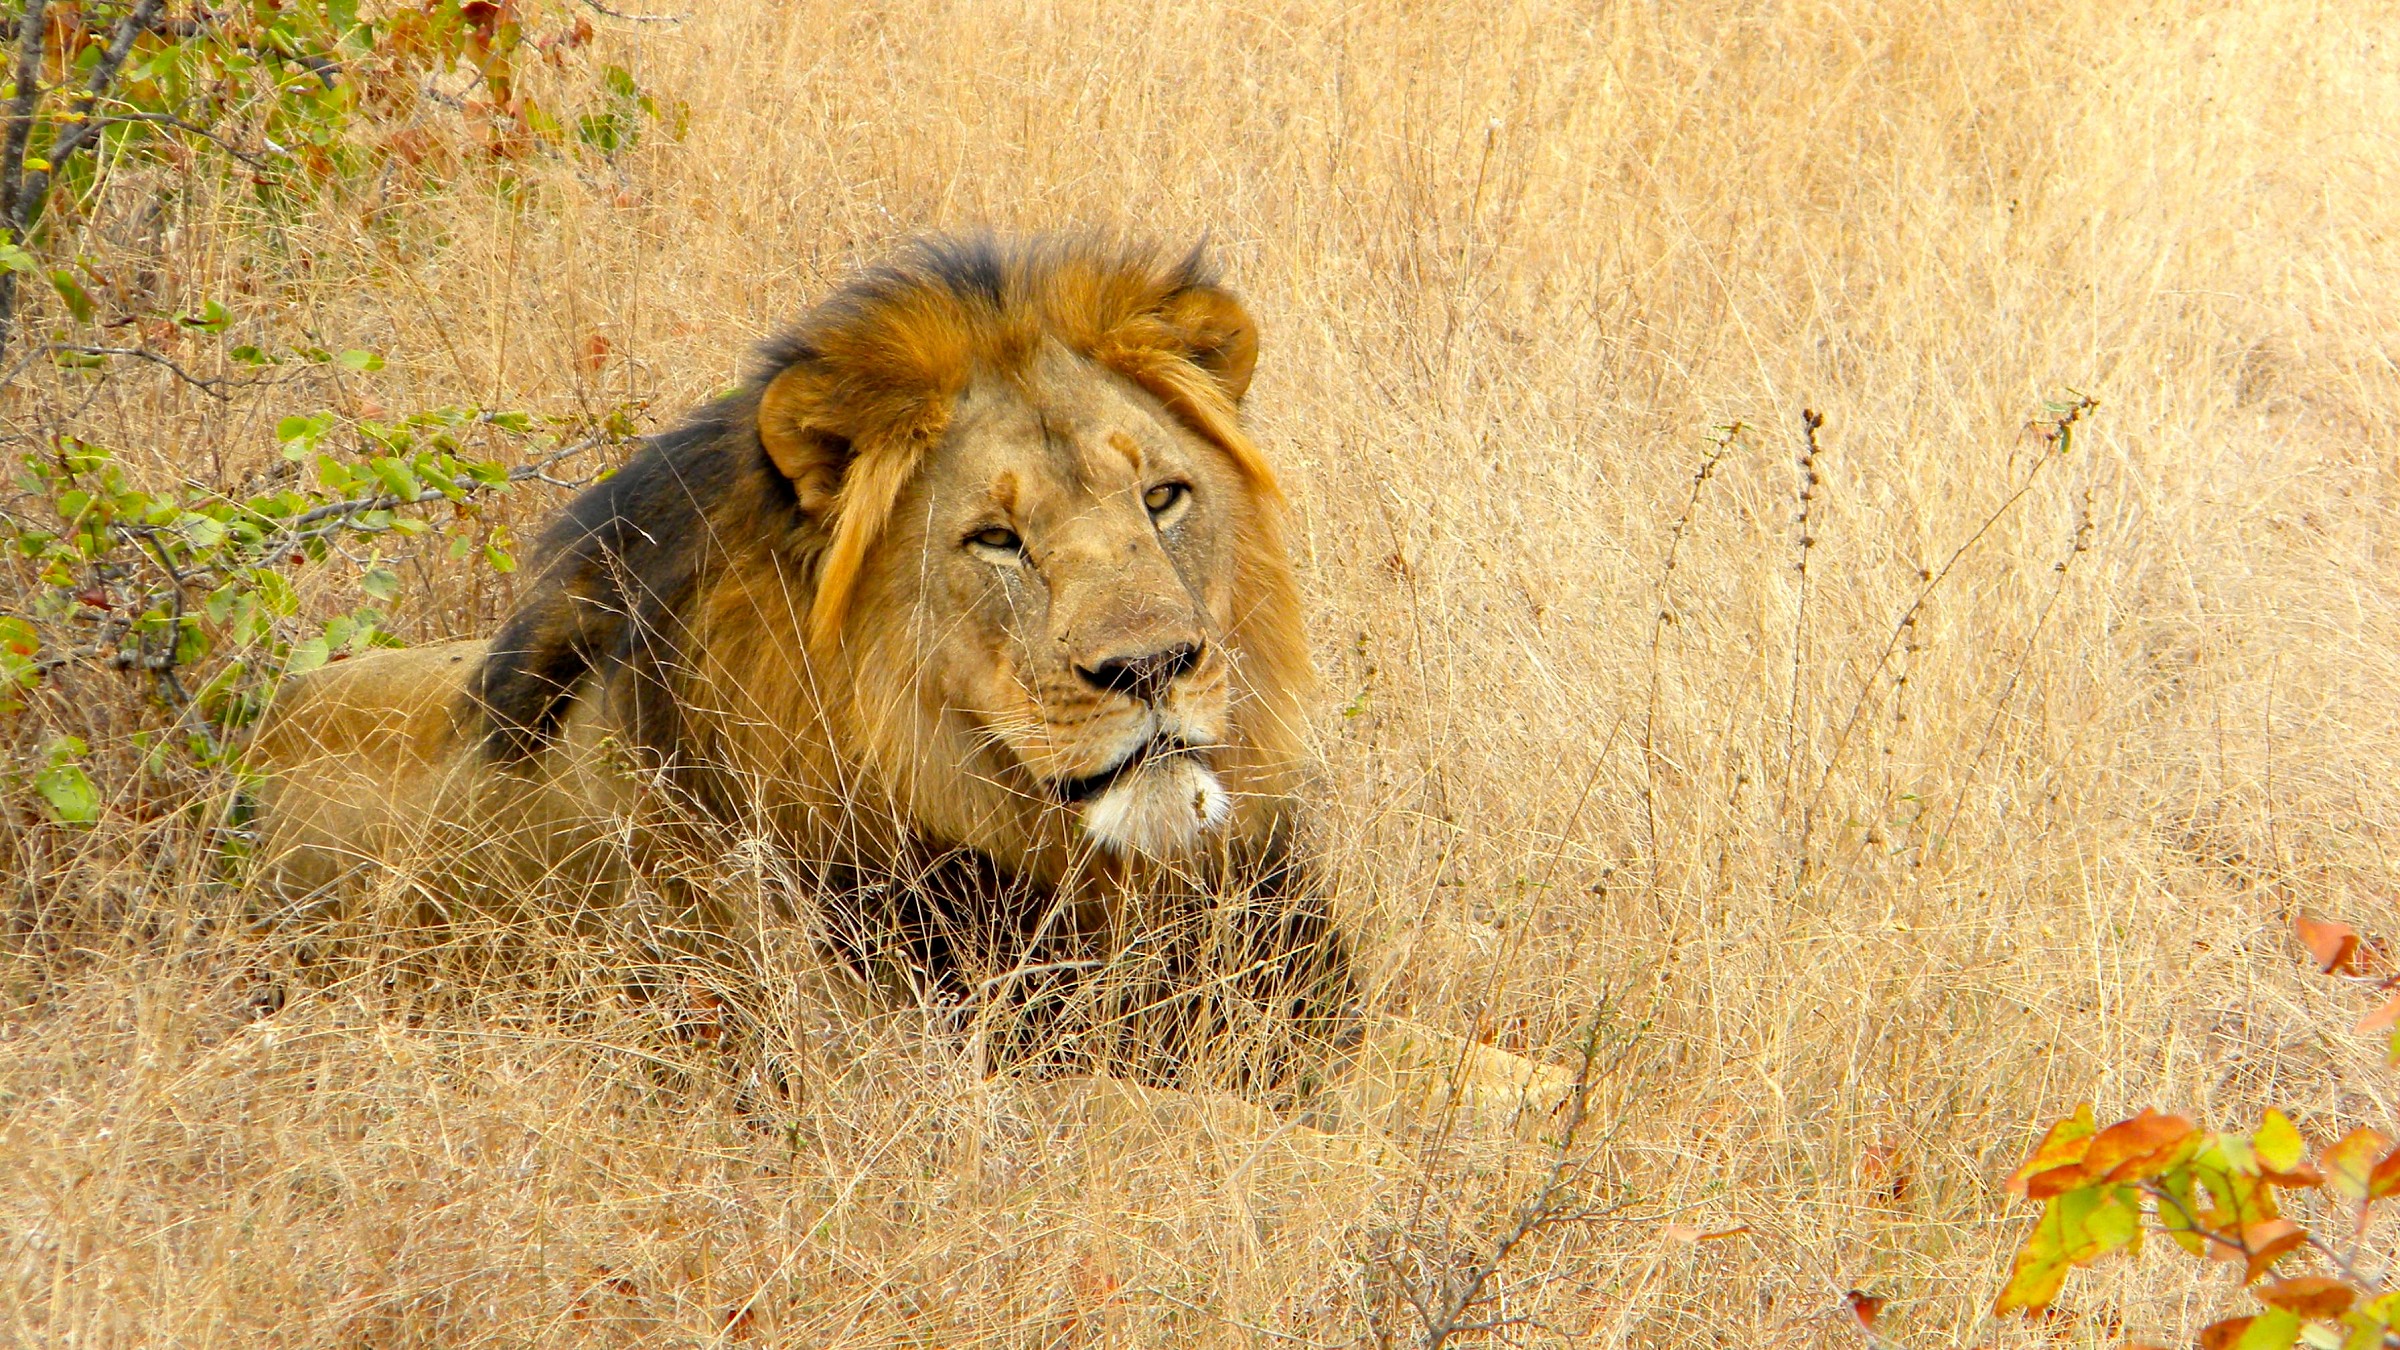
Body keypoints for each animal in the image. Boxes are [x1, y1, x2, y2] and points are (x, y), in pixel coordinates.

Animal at [249, 234, 1567, 1115]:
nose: (1153, 664)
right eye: (995, 539)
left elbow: (1540, 1086)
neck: (1099, 876)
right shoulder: (971, 1087)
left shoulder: (1298, 1015)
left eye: (1163, 496)